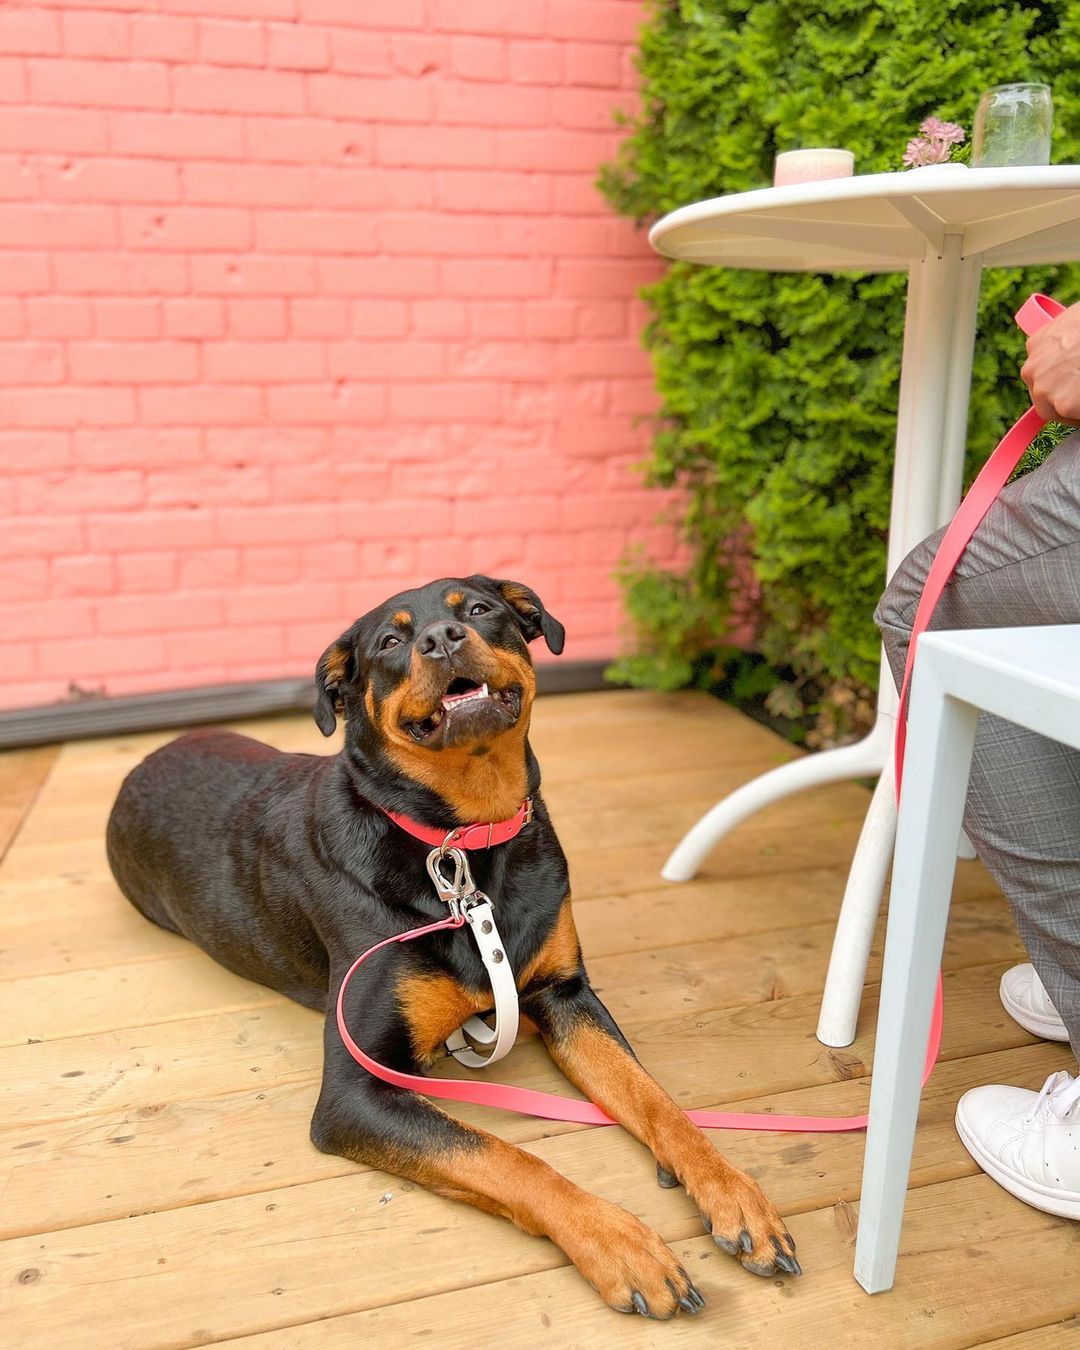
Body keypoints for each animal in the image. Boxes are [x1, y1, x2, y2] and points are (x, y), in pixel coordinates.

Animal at [107, 572, 799, 1317]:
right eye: (389, 641)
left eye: (482, 609)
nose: (442, 638)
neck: (464, 845)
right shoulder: (358, 1088)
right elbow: (503, 1157)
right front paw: (622, 1244)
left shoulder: (565, 994)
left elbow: (655, 1100)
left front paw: (733, 1194)